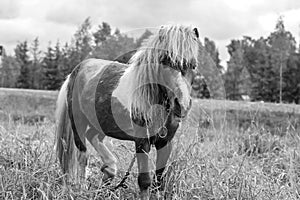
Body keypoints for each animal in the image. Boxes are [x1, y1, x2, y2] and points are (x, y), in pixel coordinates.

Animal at [55, 24, 202, 199]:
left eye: (194, 65)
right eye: (164, 61)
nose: (181, 105)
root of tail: (76, 71)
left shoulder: (166, 142)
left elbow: (158, 181)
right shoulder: (142, 142)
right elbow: (144, 181)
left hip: (103, 124)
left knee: (93, 138)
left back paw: (108, 172)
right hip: (78, 122)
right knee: (82, 155)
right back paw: (82, 188)